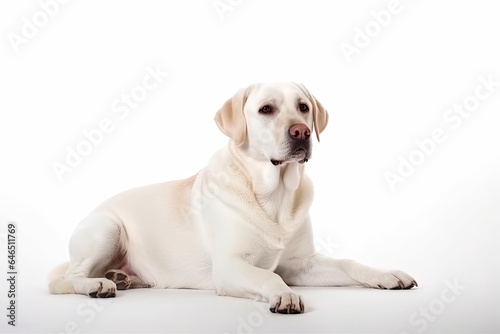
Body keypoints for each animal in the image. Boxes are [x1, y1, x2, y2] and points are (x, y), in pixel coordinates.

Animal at [49, 82, 418, 314]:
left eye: (303, 107)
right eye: (266, 109)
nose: (301, 131)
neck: (276, 198)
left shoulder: (301, 262)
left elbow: (348, 262)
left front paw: (387, 275)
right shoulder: (229, 267)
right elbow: (270, 276)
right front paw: (284, 294)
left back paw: (121, 277)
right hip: (106, 228)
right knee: (64, 280)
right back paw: (99, 284)